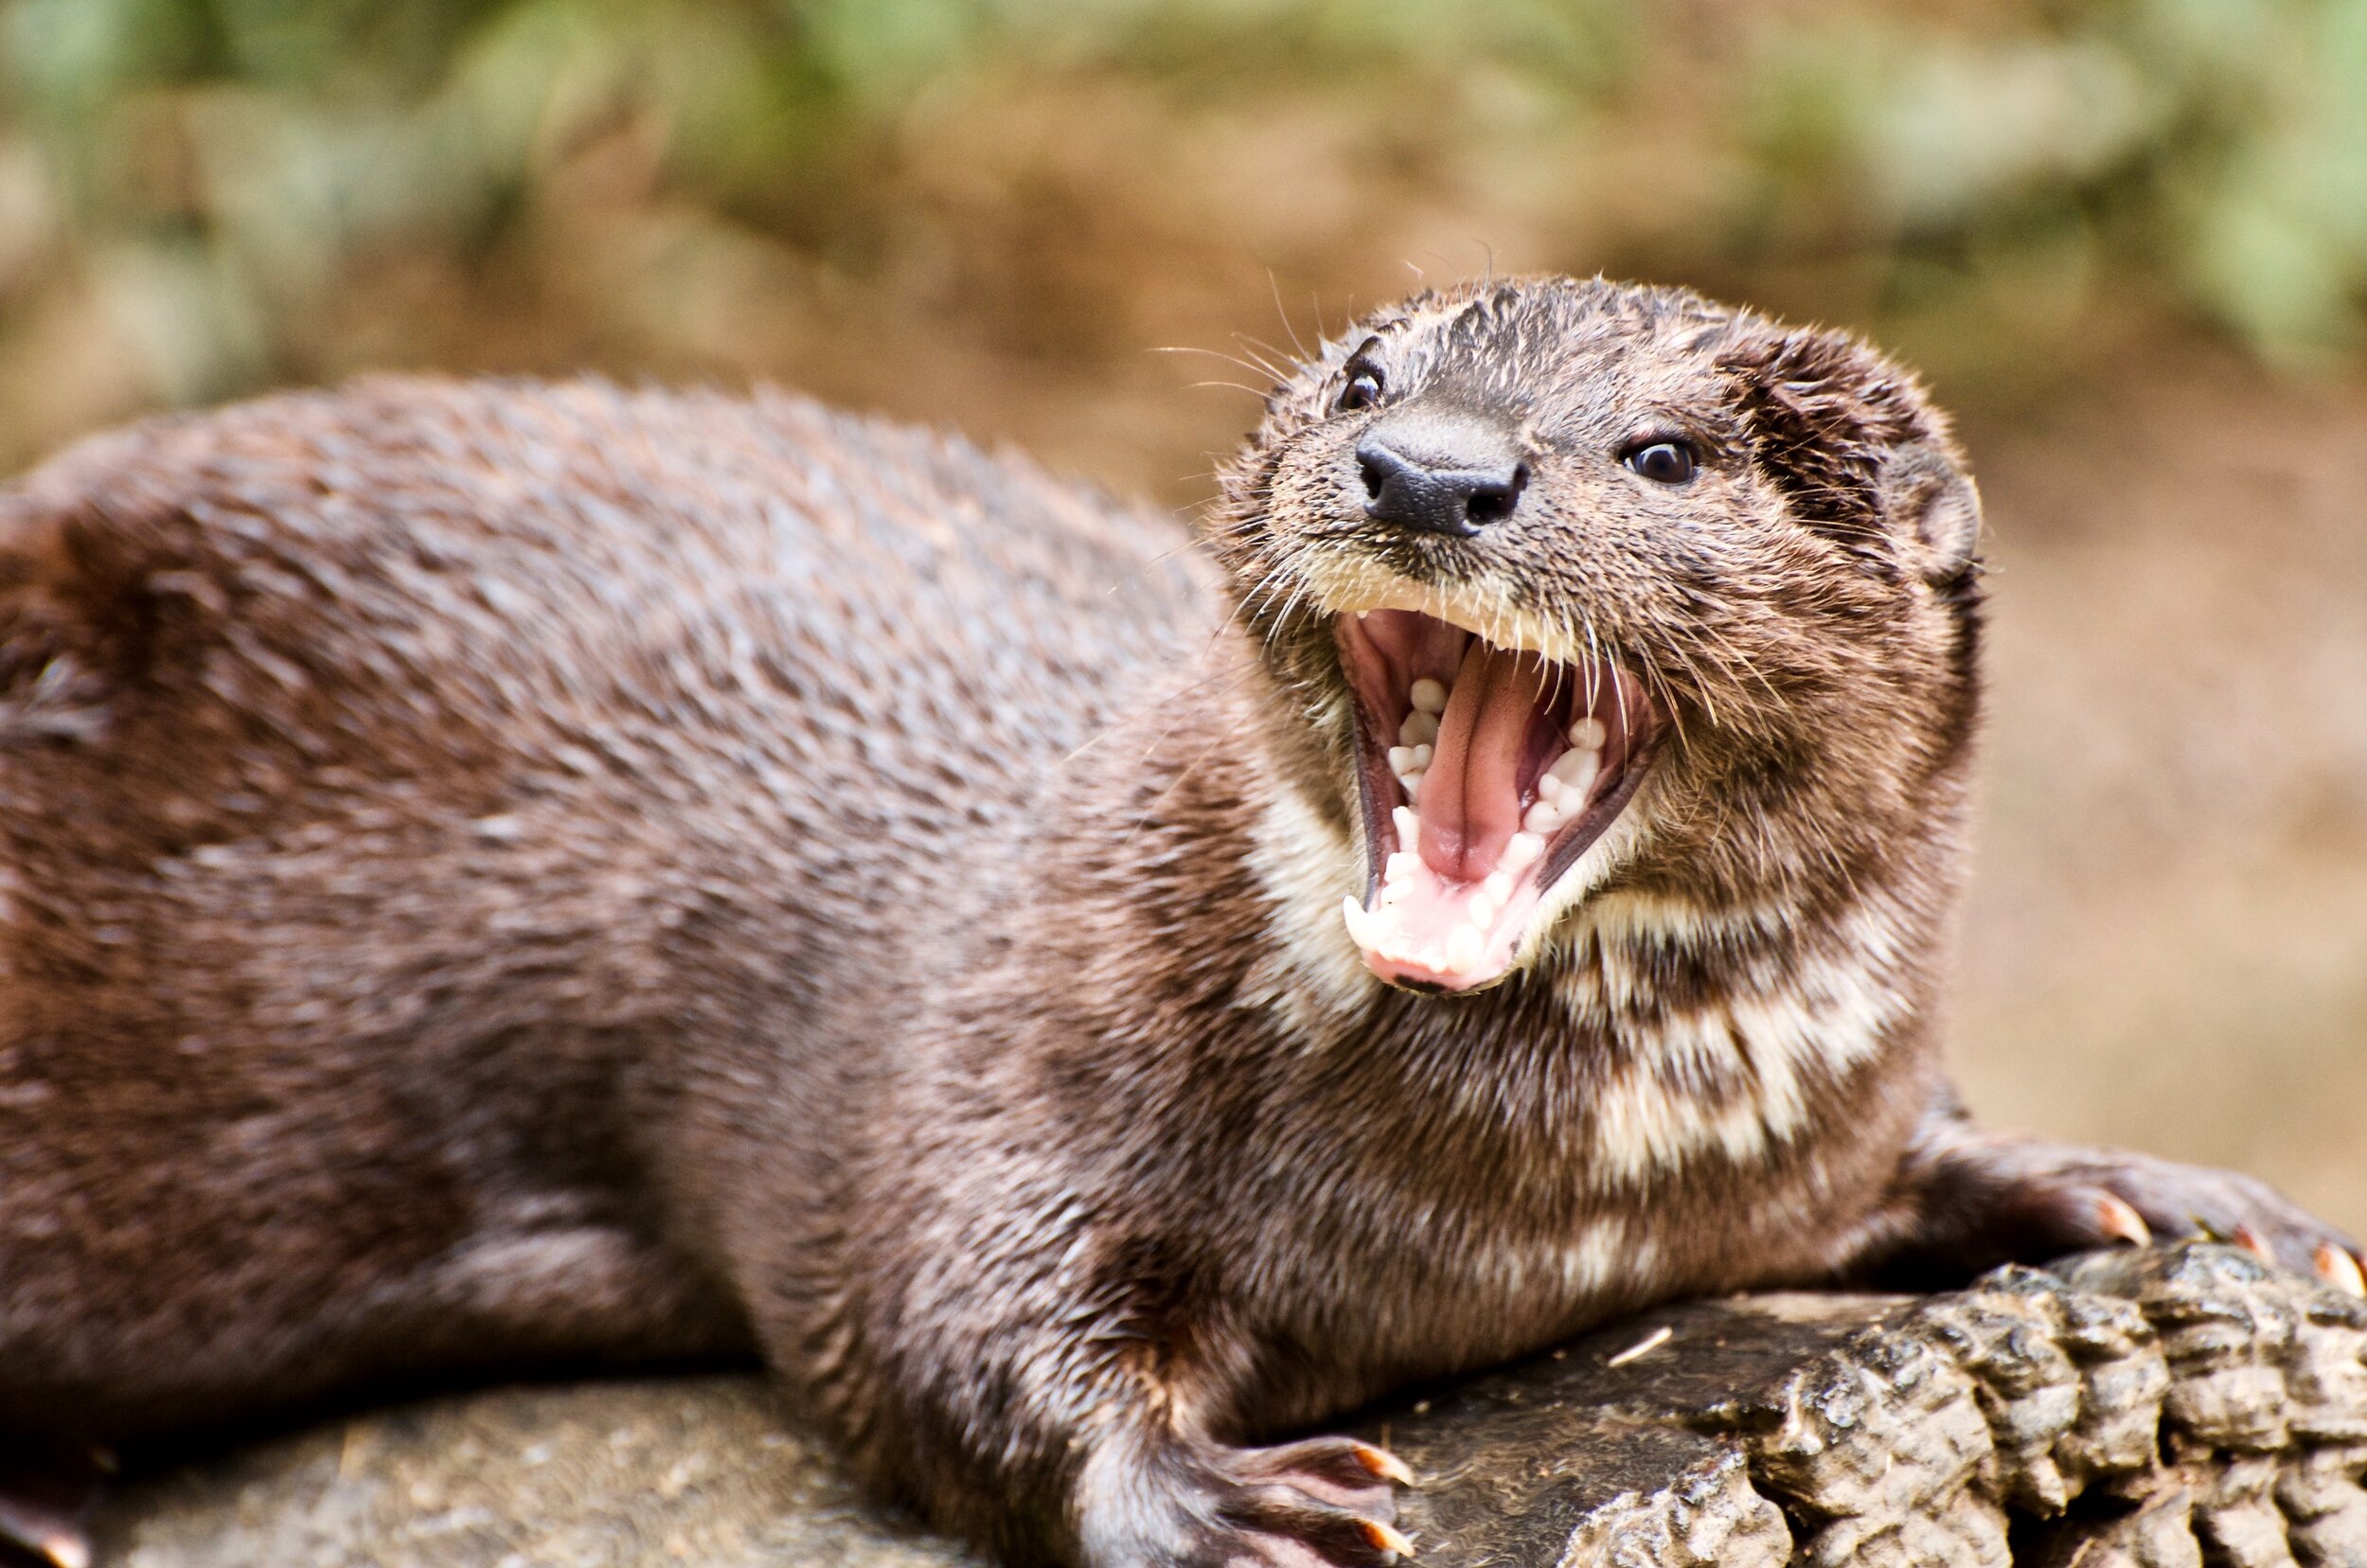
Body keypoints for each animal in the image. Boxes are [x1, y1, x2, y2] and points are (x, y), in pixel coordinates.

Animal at [0, 276, 2354, 1568]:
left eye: (1663, 454)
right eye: (1362, 380)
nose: (1430, 473)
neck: (1536, 1199)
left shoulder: (1813, 1121)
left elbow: (1916, 1154)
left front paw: (2152, 1189)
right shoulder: (999, 1043)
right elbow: (925, 1324)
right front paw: (1226, 1505)